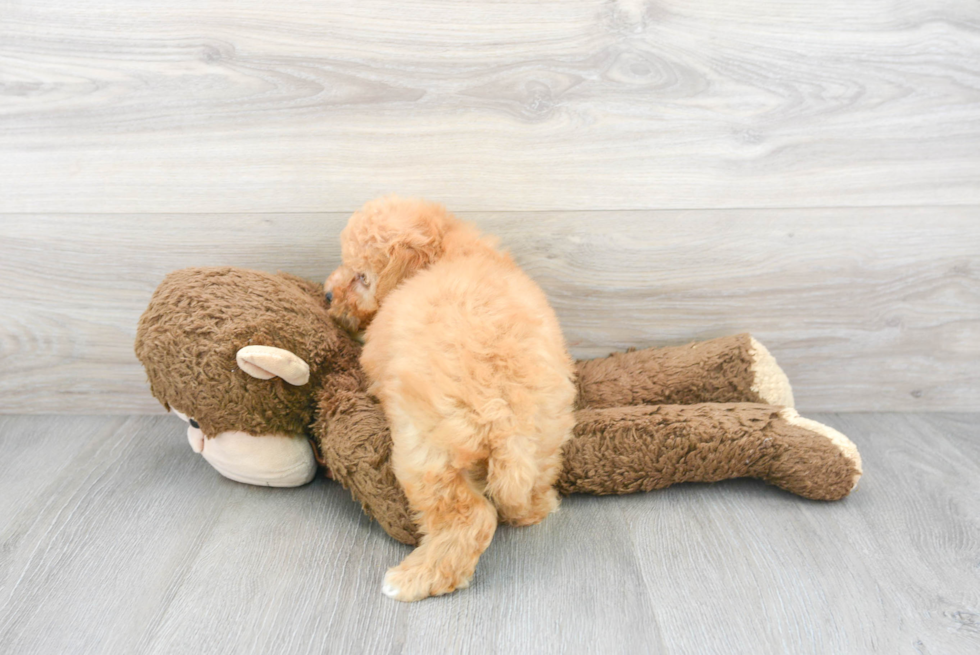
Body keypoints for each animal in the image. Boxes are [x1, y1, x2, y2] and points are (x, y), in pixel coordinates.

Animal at [326, 197, 580, 604]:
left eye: (362, 277)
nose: (327, 294)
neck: (447, 250)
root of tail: (510, 420)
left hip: (426, 455)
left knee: (470, 517)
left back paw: (414, 579)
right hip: (548, 438)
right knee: (528, 493)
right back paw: (536, 508)